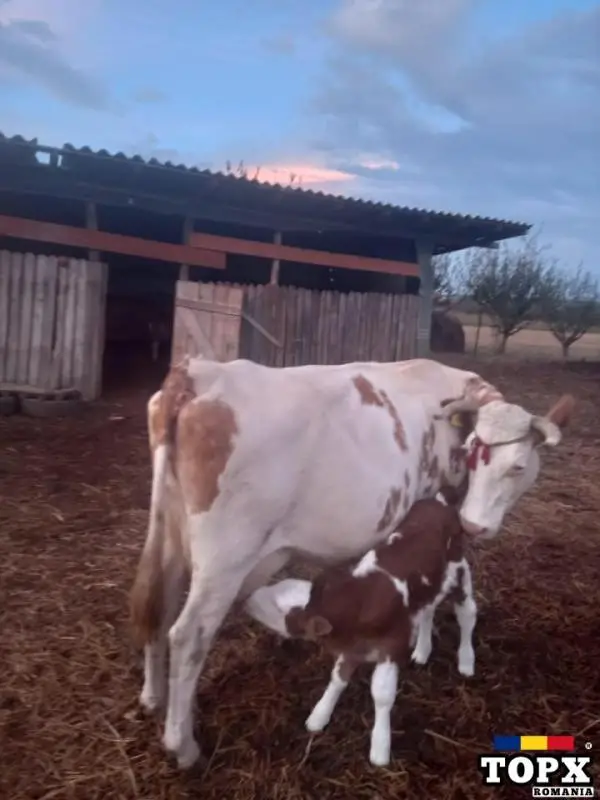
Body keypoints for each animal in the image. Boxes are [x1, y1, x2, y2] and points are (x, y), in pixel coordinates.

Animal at [129, 355, 574, 769]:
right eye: (471, 454)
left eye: (517, 465)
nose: (475, 525)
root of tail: (199, 370)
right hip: (225, 557)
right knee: (188, 635)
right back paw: (183, 745)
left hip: (169, 530)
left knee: (157, 608)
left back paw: (154, 697)